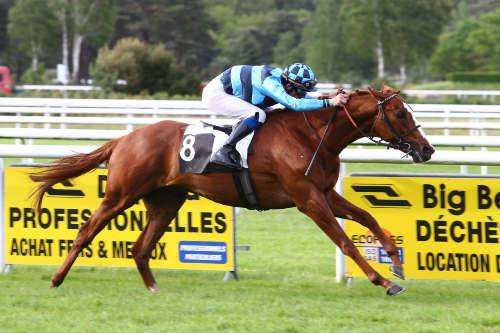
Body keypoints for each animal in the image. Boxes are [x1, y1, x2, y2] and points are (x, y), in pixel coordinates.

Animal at [30, 84, 434, 294]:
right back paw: (56, 279)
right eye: (400, 113)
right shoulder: (307, 199)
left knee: (140, 247)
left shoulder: (325, 193)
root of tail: (126, 138)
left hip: (166, 201)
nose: (427, 149)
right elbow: (345, 241)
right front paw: (382, 280)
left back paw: (154, 289)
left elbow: (367, 217)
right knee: (86, 231)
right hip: (121, 194)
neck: (310, 135)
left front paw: (396, 261)